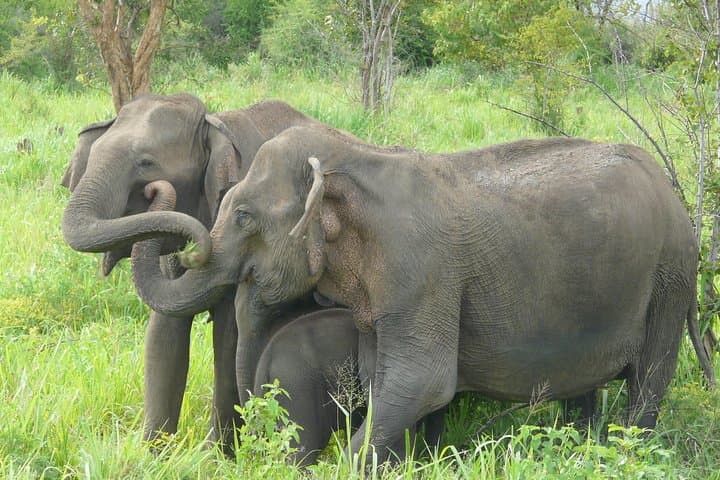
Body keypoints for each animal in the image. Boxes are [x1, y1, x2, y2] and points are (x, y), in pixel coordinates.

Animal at [60, 94, 339, 449]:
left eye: (146, 163)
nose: (155, 192)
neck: (214, 124)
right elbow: (164, 333)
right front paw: (154, 454)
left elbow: (228, 334)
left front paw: (216, 454)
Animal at [129, 124, 717, 461]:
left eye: (245, 216)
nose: (153, 186)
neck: (355, 158)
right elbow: (384, 381)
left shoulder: (421, 270)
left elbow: (423, 381)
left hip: (669, 279)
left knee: (649, 380)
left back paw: (629, 452)